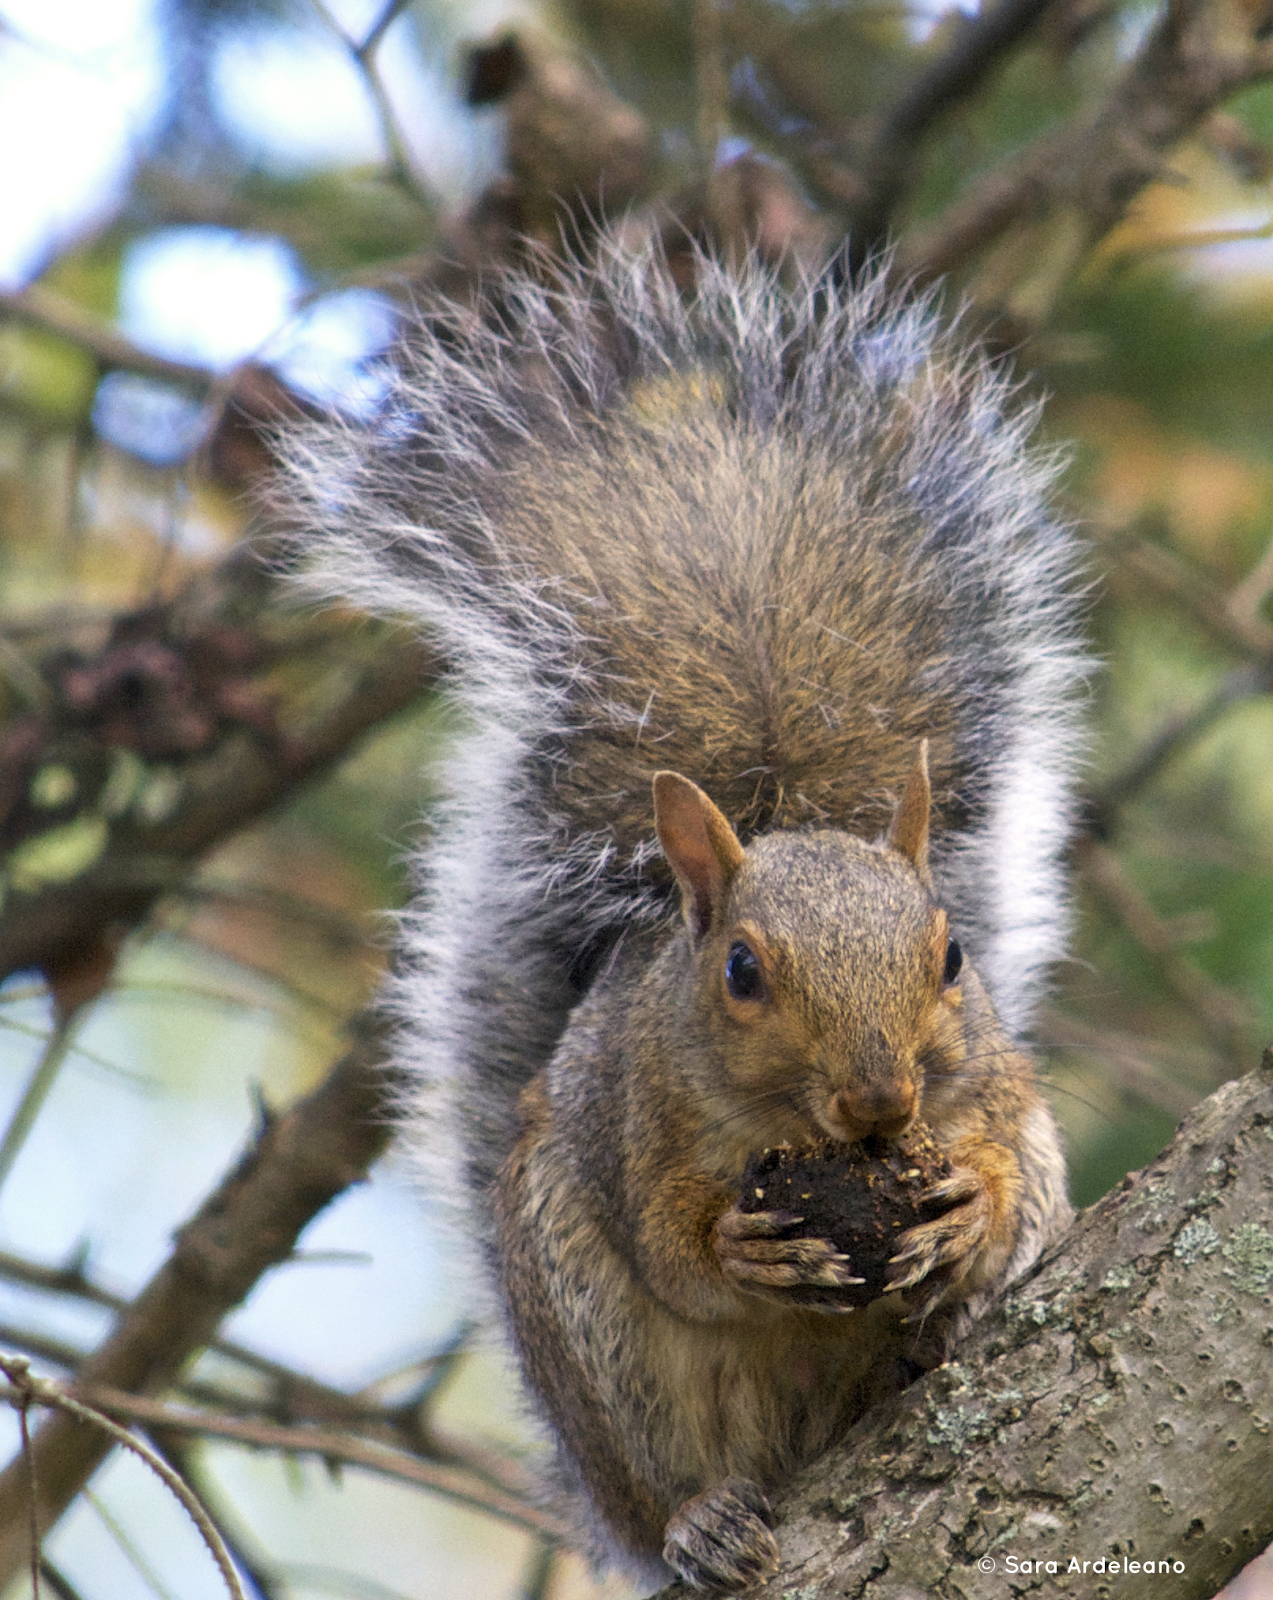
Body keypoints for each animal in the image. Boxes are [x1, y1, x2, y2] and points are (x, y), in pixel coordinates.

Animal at [276, 239, 1087, 1593]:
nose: (881, 1102)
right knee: (665, 1473)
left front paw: (969, 1207)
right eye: (742, 972)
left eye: (954, 952)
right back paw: (699, 1521)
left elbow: (1024, 1185)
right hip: (596, 1352)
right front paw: (740, 1250)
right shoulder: (627, 1113)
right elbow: (671, 1248)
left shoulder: (1001, 1090)